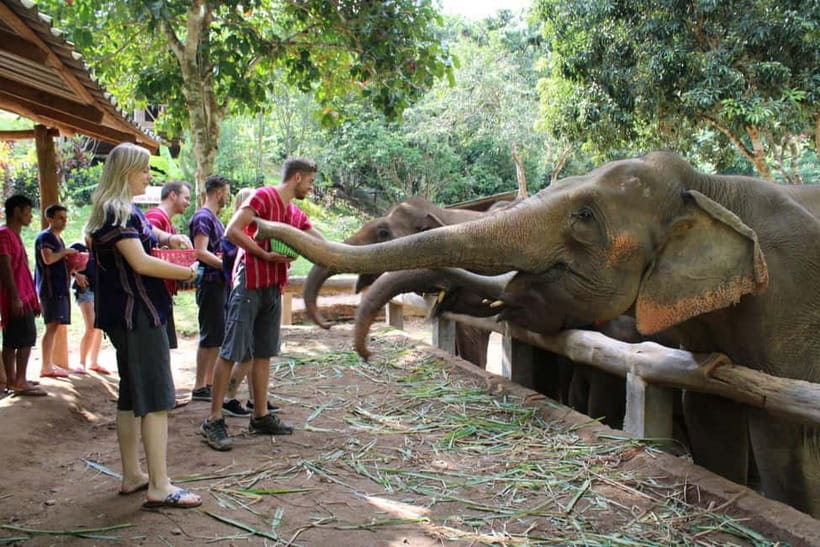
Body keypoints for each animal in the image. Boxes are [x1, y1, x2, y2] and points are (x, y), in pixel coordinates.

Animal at [255, 151, 820, 517]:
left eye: (585, 215)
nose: (258, 225)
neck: (710, 188)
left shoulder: (789, 302)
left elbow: (778, 430)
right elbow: (710, 408)